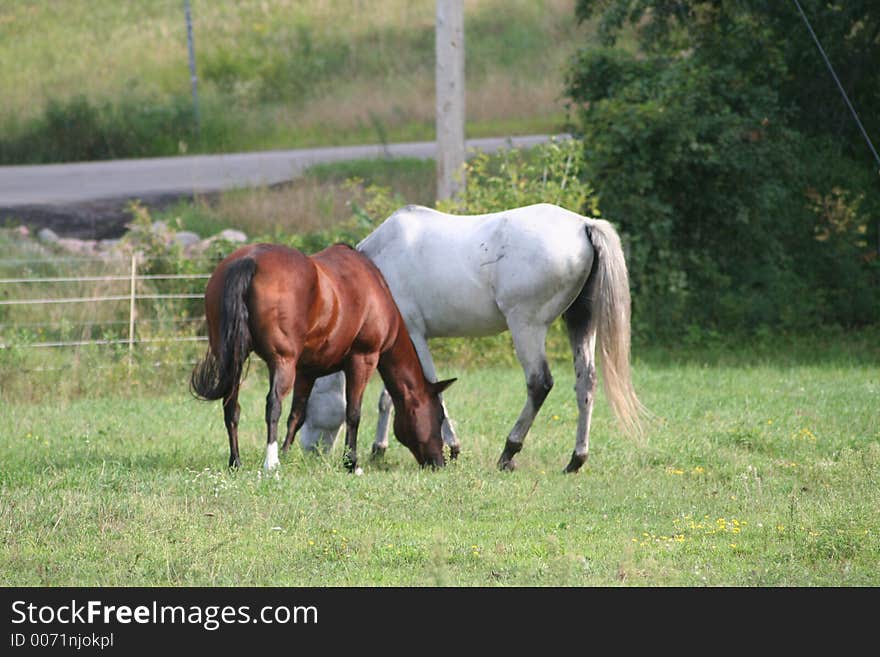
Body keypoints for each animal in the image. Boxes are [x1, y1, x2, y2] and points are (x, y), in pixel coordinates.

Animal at [191, 243, 454, 468]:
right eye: (439, 417)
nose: (439, 462)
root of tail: (249, 260)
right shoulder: (363, 358)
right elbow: (353, 413)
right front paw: (351, 463)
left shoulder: (306, 372)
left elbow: (297, 415)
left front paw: (287, 453)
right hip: (282, 362)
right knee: (272, 405)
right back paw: (271, 464)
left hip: (233, 359)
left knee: (231, 407)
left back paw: (236, 461)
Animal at [300, 202, 644, 468]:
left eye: (311, 400)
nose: (309, 452)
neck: (378, 266)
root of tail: (583, 225)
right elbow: (391, 396)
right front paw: (379, 448)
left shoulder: (414, 333)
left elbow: (430, 389)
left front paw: (451, 447)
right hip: (580, 322)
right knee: (586, 382)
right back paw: (576, 459)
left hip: (526, 327)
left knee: (539, 384)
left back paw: (509, 452)